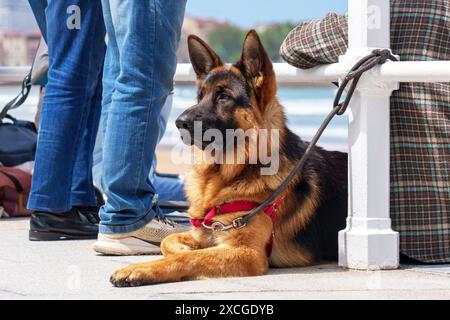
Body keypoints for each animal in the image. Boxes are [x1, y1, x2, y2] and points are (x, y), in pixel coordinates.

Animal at [110, 30, 348, 286]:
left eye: (223, 97)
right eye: (200, 96)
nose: (179, 122)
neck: (238, 170)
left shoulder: (248, 253)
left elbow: (188, 258)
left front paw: (141, 268)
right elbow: (169, 241)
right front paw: (183, 247)